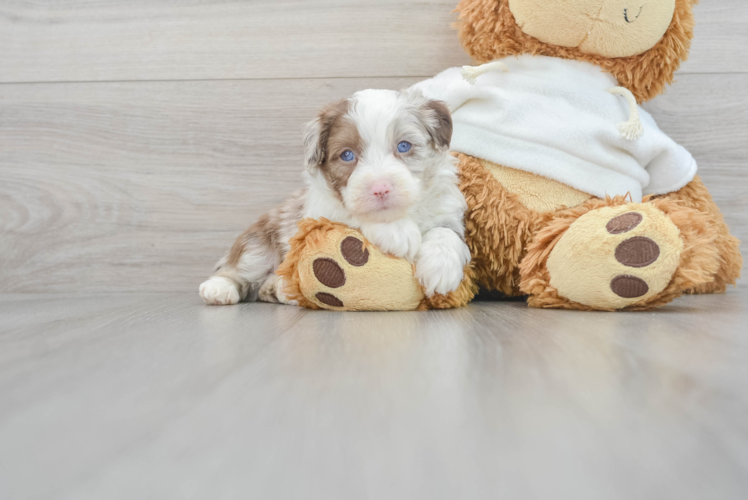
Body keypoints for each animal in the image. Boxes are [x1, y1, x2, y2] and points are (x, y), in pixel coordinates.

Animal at [199, 90, 468, 306]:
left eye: (404, 146)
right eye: (347, 155)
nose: (380, 188)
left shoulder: (446, 208)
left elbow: (446, 232)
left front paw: (441, 267)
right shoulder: (317, 213)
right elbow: (350, 214)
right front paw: (397, 231)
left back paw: (282, 289)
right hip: (258, 244)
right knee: (239, 268)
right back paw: (218, 288)